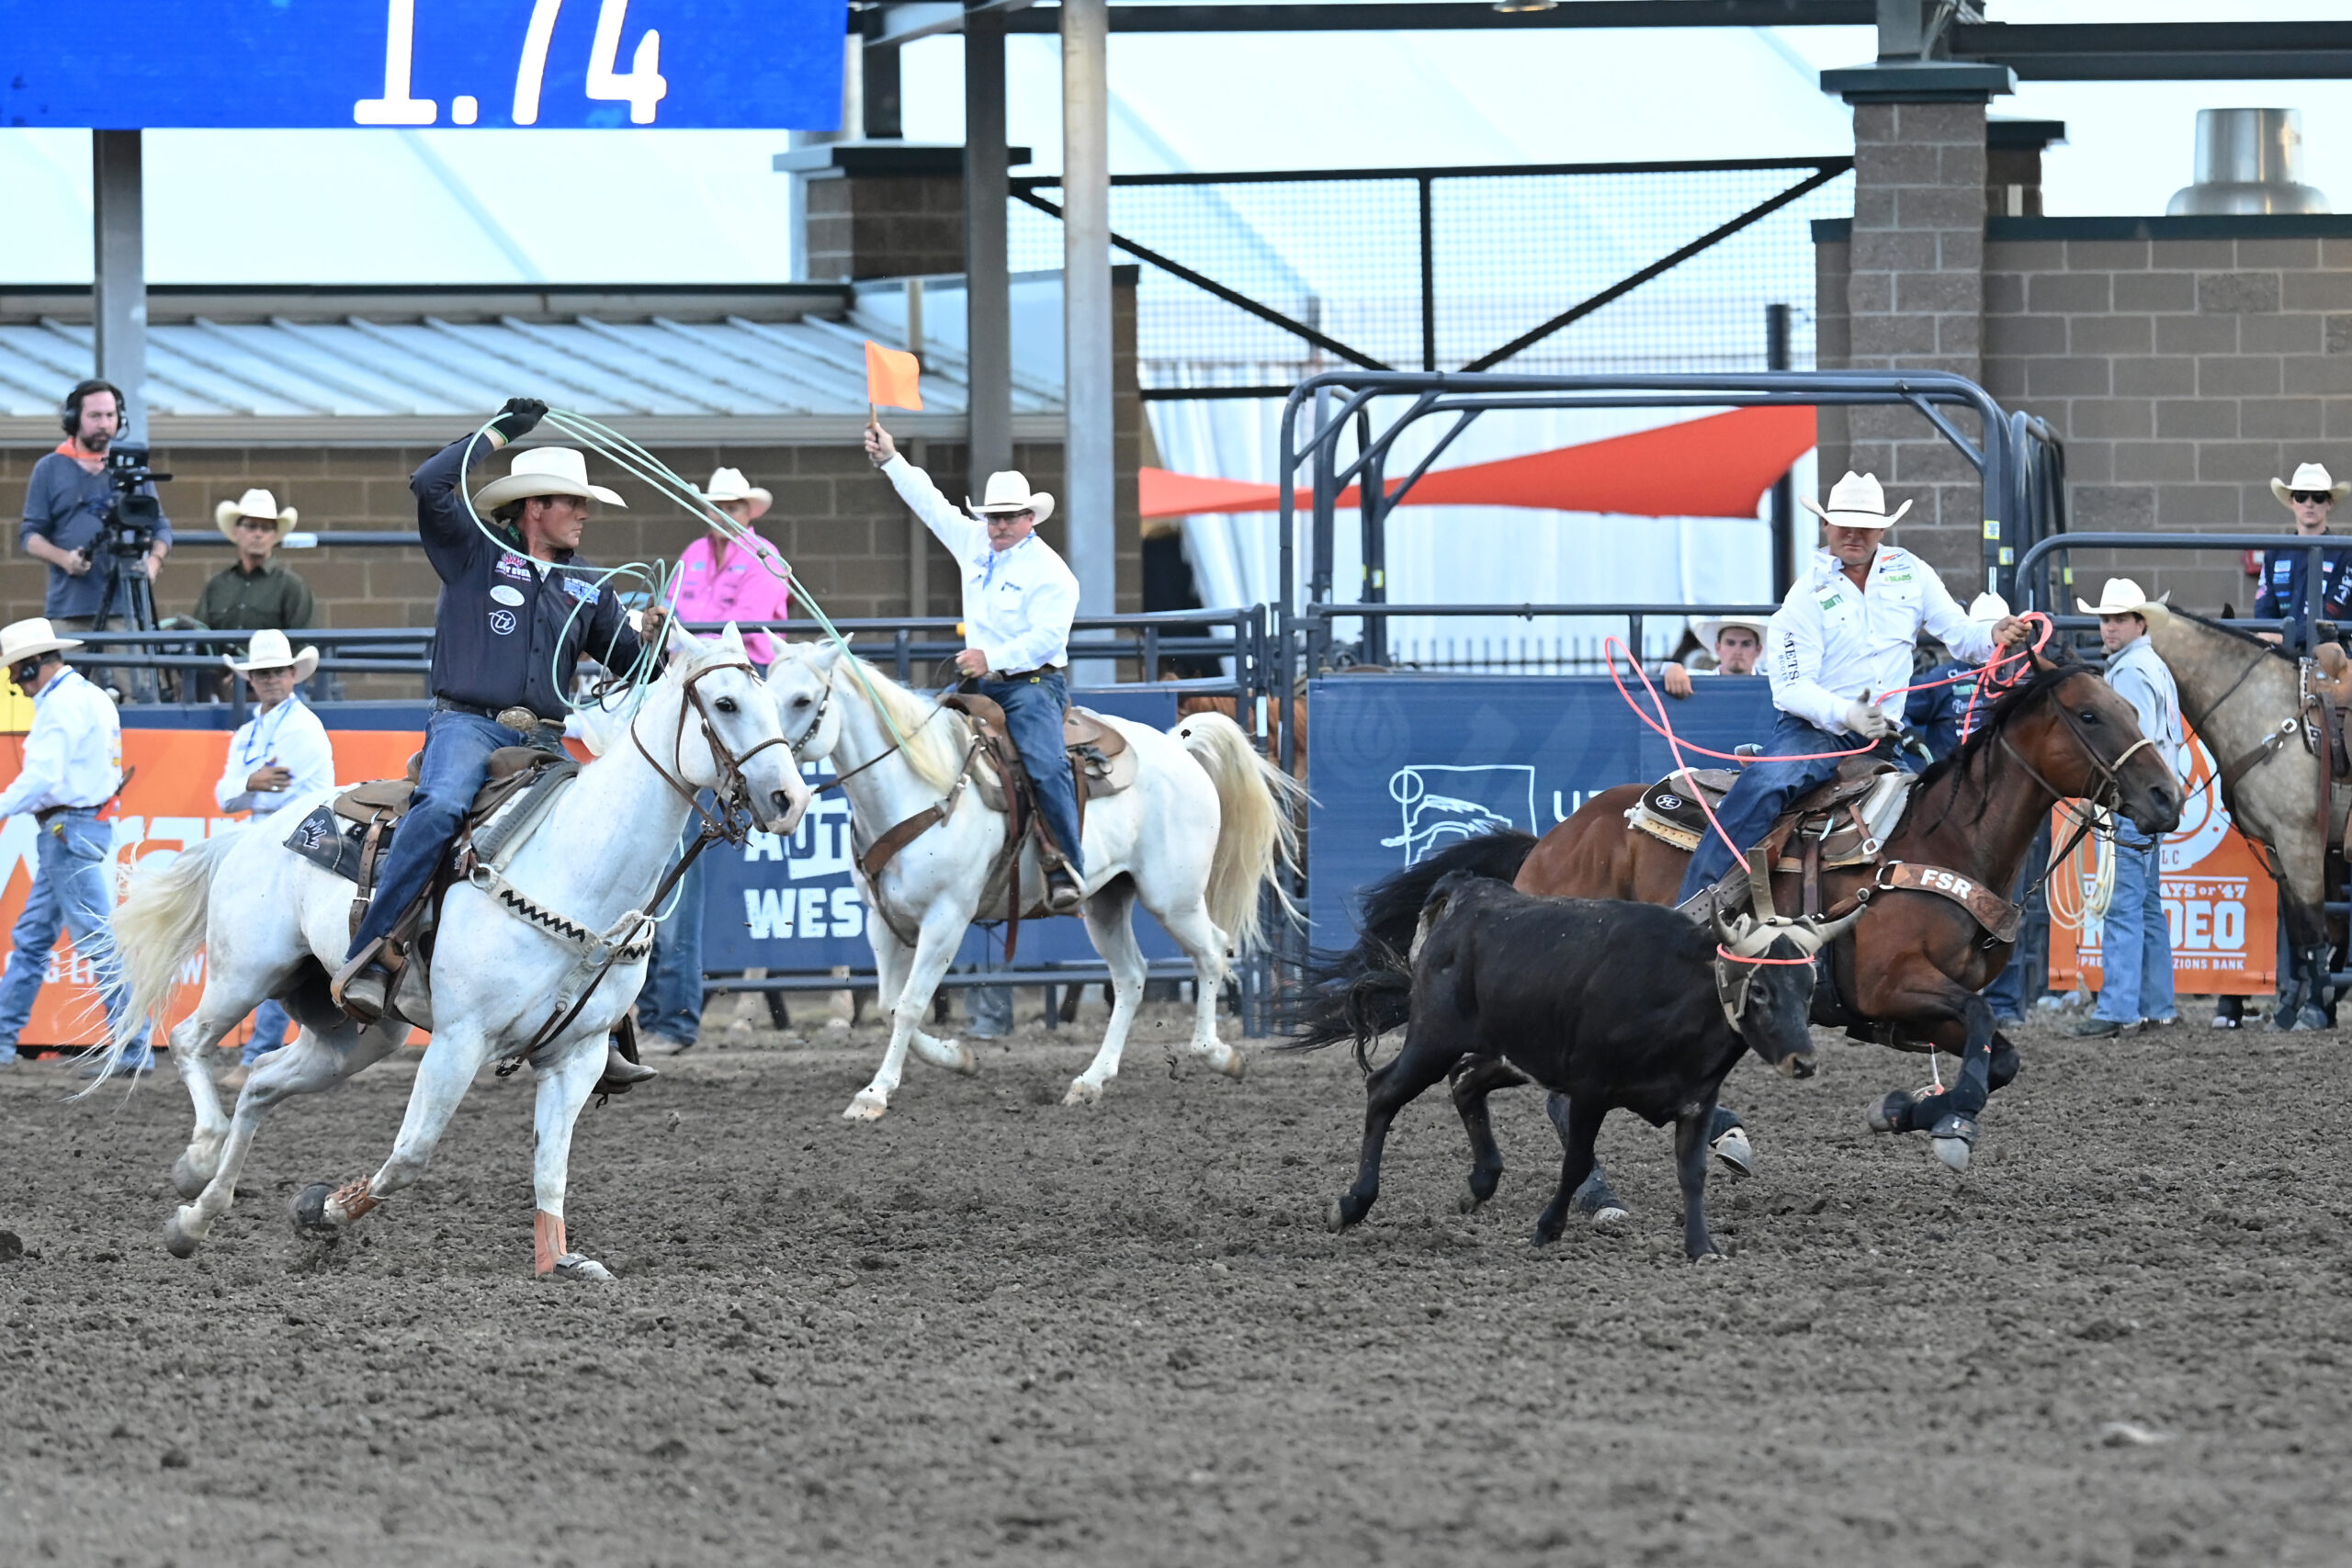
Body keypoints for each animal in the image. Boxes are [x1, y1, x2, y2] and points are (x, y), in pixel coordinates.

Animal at [101, 625, 808, 1279]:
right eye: (725, 703)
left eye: (776, 702)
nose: (790, 799)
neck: (581, 868)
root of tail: (257, 830)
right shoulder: (459, 1038)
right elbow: (410, 1154)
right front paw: (327, 1209)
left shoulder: (577, 1056)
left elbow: (550, 1165)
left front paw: (559, 1259)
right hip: (246, 972)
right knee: (190, 1040)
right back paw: (196, 1161)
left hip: (359, 1035)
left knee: (262, 1083)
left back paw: (195, 1219)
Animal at [766, 644, 1307, 1123]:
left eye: (802, 700)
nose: (780, 795)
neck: (923, 787)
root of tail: (1178, 748)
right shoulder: (883, 919)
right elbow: (889, 1004)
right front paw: (958, 1057)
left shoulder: (946, 918)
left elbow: (911, 1005)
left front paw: (874, 1094)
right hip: (1107, 901)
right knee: (1131, 976)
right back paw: (1091, 1081)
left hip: (1172, 898)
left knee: (1213, 951)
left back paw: (1217, 1054)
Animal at [1298, 649, 2173, 1175]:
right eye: (2090, 715)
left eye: (2136, 709)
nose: (2167, 796)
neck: (1943, 838)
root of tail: (1548, 842)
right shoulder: (1895, 986)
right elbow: (1988, 1035)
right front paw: (1938, 1118)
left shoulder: (1911, 1012)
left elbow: (2000, 1055)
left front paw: (1914, 1113)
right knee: (1552, 1087)